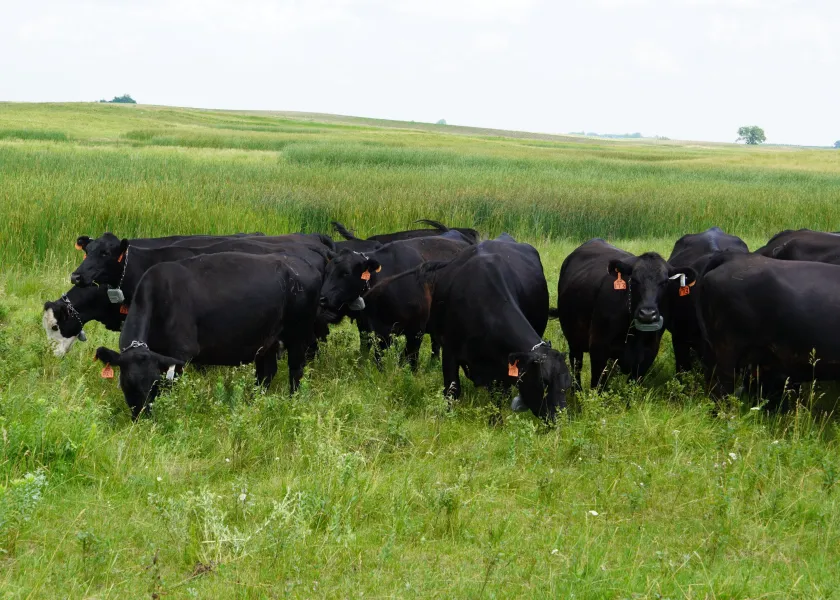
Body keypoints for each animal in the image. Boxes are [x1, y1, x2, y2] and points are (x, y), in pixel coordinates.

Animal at [94, 252, 322, 418]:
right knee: (266, 373)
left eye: (155, 384)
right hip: (268, 341)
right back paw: (253, 403)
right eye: (128, 383)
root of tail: (301, 264)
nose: (143, 416)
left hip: (299, 335)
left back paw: (292, 402)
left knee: (295, 370)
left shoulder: (181, 352)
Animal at [318, 235, 470, 367]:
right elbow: (375, 354)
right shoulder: (372, 329)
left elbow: (410, 358)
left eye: (346, 273)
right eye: (327, 271)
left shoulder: (417, 329)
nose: (323, 298)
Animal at [405, 236, 570, 422]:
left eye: (567, 385)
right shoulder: (449, 352)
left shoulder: (501, 366)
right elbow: (452, 390)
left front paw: (495, 422)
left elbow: (498, 396)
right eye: (544, 382)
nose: (559, 419)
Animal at [556, 239, 697, 390]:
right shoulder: (598, 346)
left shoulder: (649, 352)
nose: (647, 314)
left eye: (665, 282)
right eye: (634, 280)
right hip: (573, 339)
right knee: (576, 365)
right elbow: (598, 385)